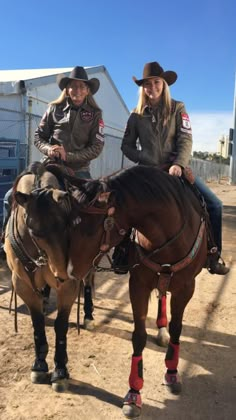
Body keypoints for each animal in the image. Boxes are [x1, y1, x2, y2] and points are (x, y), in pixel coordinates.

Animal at [64, 164, 206, 416]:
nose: (70, 271)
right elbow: (138, 337)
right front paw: (133, 393)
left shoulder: (186, 287)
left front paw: (172, 373)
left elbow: (177, 328)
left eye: (90, 230)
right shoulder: (138, 285)